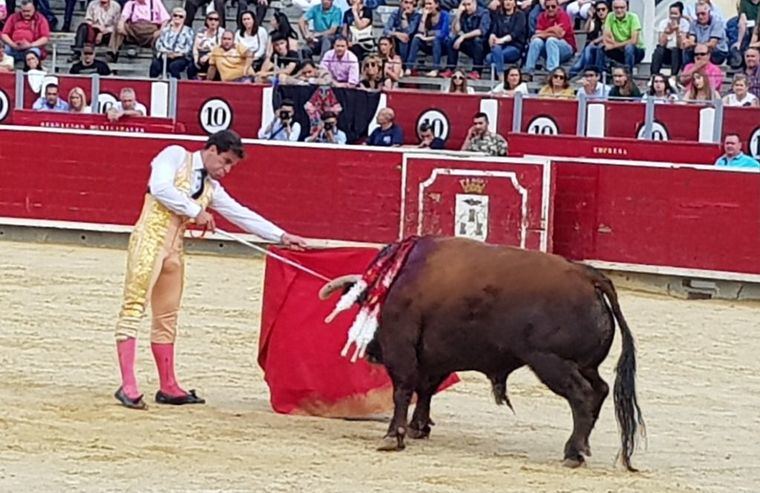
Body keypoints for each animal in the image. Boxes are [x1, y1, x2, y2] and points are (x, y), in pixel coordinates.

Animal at [322, 236, 648, 470]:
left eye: (360, 304)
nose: (371, 353)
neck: (397, 280)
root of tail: (589, 276)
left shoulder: (402, 348)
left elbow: (403, 389)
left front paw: (394, 436)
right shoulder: (434, 356)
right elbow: (425, 390)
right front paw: (418, 428)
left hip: (551, 362)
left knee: (582, 396)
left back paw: (573, 453)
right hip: (584, 365)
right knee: (600, 390)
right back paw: (583, 447)